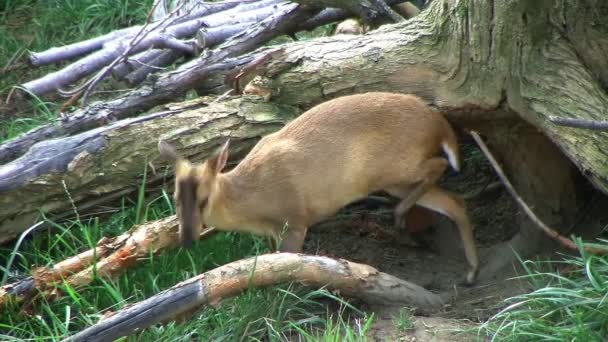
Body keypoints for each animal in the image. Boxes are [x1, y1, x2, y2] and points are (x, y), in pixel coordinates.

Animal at [160, 91, 480, 284]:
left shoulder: (295, 221)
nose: (186, 240)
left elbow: (287, 266)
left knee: (441, 165)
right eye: (174, 198)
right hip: (397, 181)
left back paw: (402, 221)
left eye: (204, 199)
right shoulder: (275, 232)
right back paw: (470, 271)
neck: (252, 200)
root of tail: (439, 123)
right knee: (456, 201)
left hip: (395, 168)